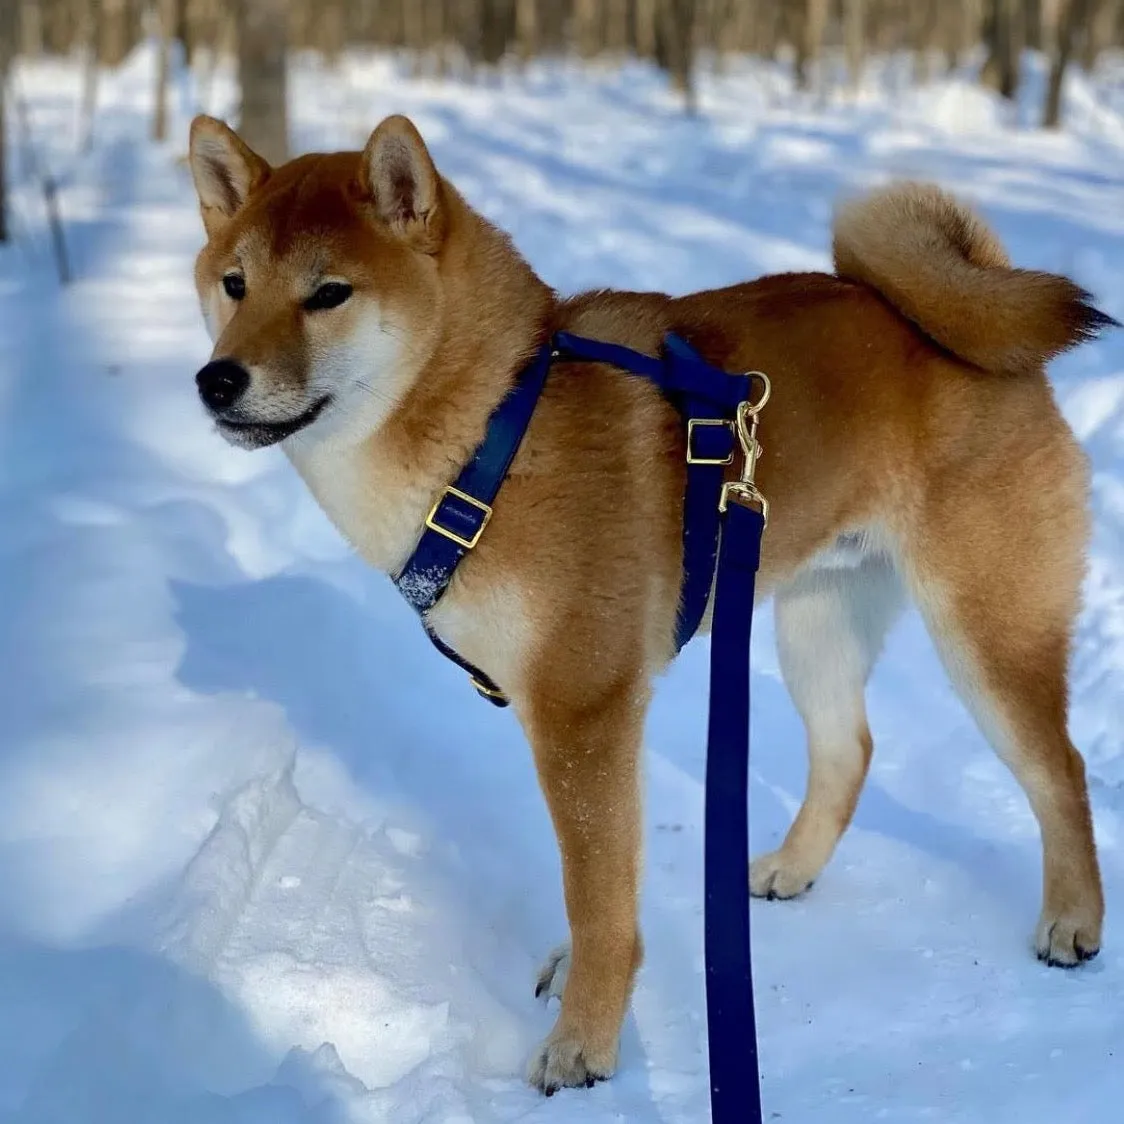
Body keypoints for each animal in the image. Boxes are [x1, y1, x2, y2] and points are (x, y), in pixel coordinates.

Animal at [186, 109, 1115, 1092]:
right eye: (235, 284)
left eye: (329, 293)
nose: (218, 379)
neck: (490, 433)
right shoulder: (590, 713)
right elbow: (608, 886)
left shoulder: (581, 708)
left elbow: (597, 900)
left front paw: (583, 1045)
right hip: (815, 624)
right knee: (849, 750)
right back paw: (790, 868)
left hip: (983, 633)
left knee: (1060, 770)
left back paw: (1073, 921)